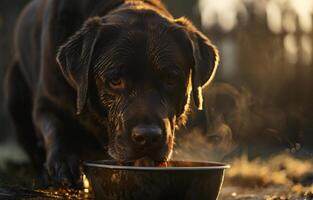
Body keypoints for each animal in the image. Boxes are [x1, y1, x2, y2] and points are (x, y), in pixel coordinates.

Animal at [5, 0, 219, 186]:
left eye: (171, 80)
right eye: (115, 80)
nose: (148, 136)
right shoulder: (48, 101)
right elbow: (54, 127)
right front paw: (64, 164)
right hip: (14, 90)